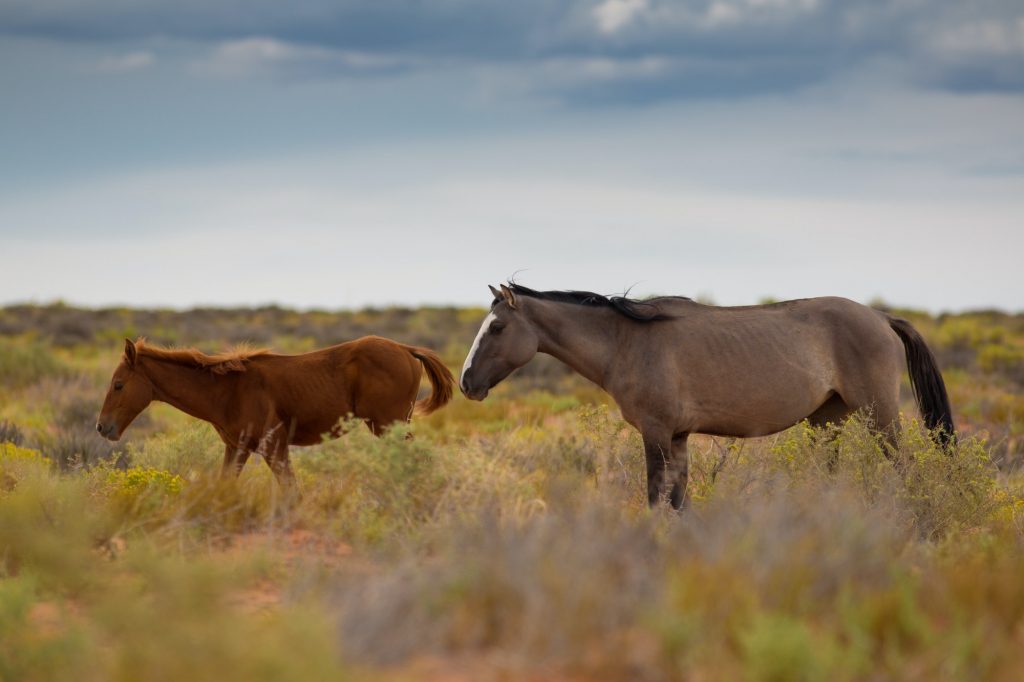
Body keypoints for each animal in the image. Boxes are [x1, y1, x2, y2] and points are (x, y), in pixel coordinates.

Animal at [98, 335, 452, 485]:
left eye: (118, 384)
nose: (102, 427)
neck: (229, 389)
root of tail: (406, 349)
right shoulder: (237, 447)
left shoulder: (274, 444)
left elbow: (290, 489)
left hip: (388, 426)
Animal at [458, 280, 950, 503]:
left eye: (497, 327)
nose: (466, 382)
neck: (628, 342)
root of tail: (881, 317)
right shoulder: (678, 437)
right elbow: (678, 498)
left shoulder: (657, 433)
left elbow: (656, 496)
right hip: (827, 421)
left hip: (879, 416)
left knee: (906, 470)